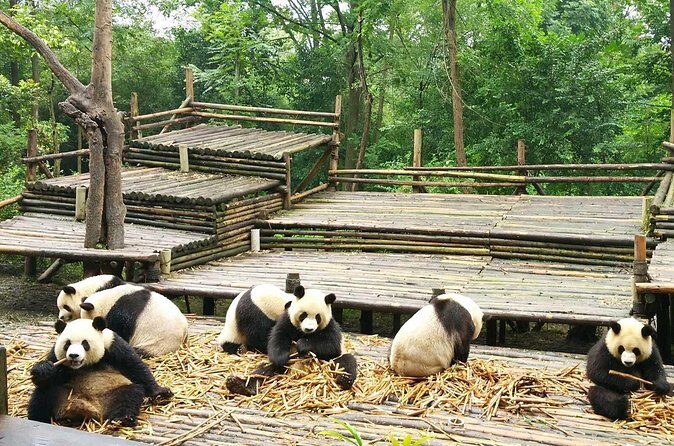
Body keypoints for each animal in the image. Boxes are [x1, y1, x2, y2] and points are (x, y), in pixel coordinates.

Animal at [28, 317, 172, 426]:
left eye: (84, 343)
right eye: (67, 344)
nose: (73, 355)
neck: (85, 365)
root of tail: (88, 408)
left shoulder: (113, 345)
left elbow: (135, 367)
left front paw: (161, 391)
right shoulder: (57, 356)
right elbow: (49, 376)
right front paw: (43, 369)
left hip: (112, 392)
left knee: (129, 395)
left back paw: (124, 419)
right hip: (64, 393)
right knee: (43, 395)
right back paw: (38, 418)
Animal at [226, 285, 358, 395]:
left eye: (318, 317)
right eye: (303, 315)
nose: (309, 328)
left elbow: (331, 344)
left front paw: (303, 345)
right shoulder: (256, 313)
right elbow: (271, 337)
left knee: (345, 362)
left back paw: (344, 379)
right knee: (263, 369)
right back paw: (240, 385)